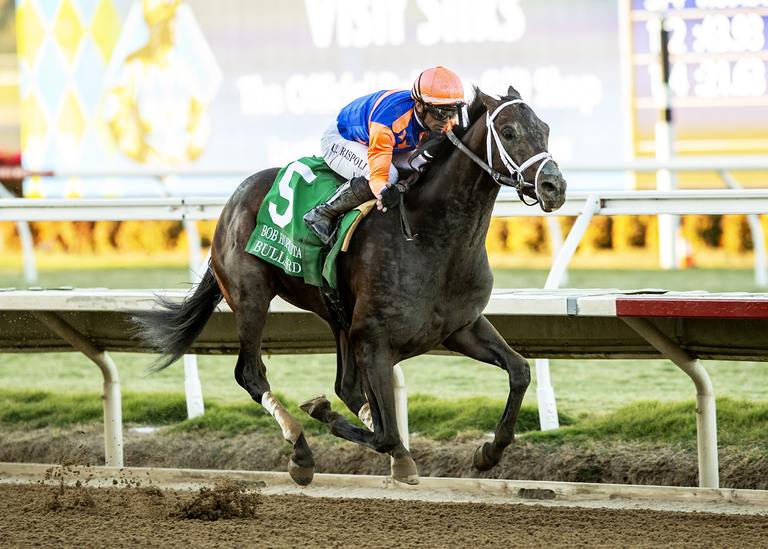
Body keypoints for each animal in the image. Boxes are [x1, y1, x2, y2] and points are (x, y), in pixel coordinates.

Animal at [132, 85, 568, 484]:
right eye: (508, 131)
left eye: (546, 129)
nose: (554, 186)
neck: (432, 237)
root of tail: (232, 202)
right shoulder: (374, 340)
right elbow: (384, 432)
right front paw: (326, 415)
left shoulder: (459, 328)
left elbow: (519, 371)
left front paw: (488, 453)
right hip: (251, 296)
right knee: (251, 374)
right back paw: (301, 451)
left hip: (338, 316)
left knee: (346, 387)